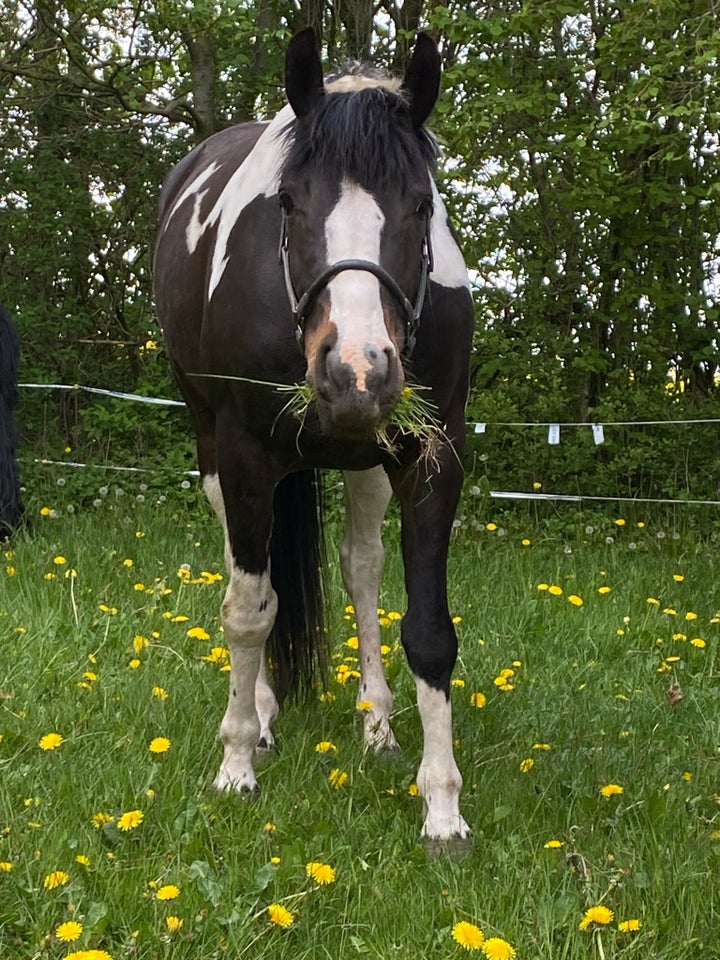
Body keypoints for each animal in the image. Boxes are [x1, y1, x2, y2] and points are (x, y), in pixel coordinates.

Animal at [155, 28, 476, 840]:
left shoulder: (431, 457)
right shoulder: (244, 456)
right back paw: (263, 717)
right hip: (215, 448)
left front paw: (442, 806)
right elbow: (247, 613)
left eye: (421, 204)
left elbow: (428, 630)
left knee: (360, 569)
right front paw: (236, 764)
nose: (355, 371)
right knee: (251, 575)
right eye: (290, 204)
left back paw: (377, 725)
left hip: (365, 458)